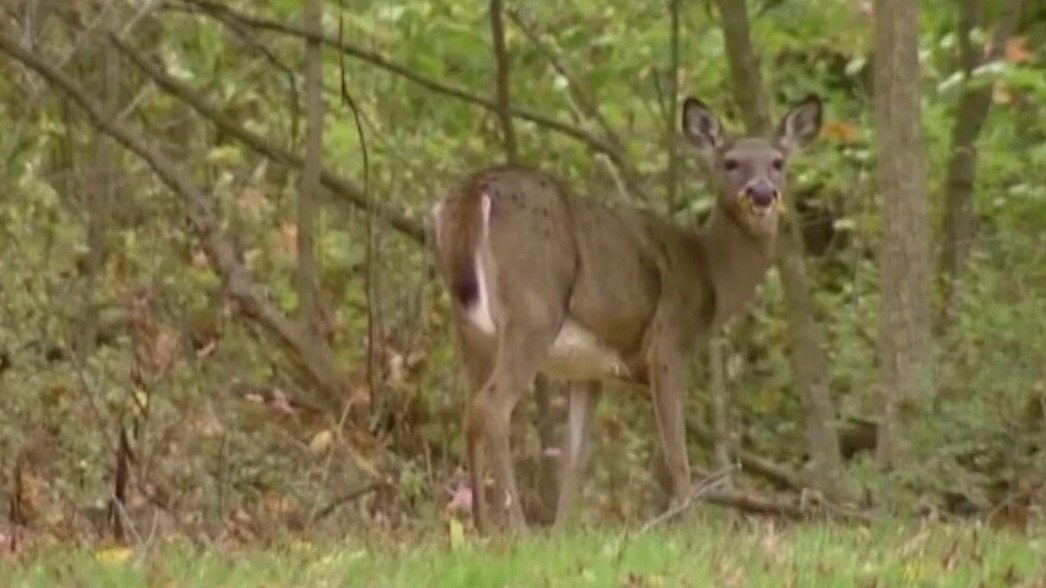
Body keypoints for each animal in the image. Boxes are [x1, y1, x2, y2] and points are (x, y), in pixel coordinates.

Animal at [426, 93, 823, 535]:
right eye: (730, 162)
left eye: (778, 162)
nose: (761, 194)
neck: (709, 275)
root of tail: (472, 191)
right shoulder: (668, 344)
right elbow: (675, 452)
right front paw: (690, 527)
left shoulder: (589, 370)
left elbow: (575, 457)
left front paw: (561, 534)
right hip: (533, 310)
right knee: (491, 407)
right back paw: (517, 529)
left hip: (470, 328)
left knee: (469, 411)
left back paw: (482, 528)